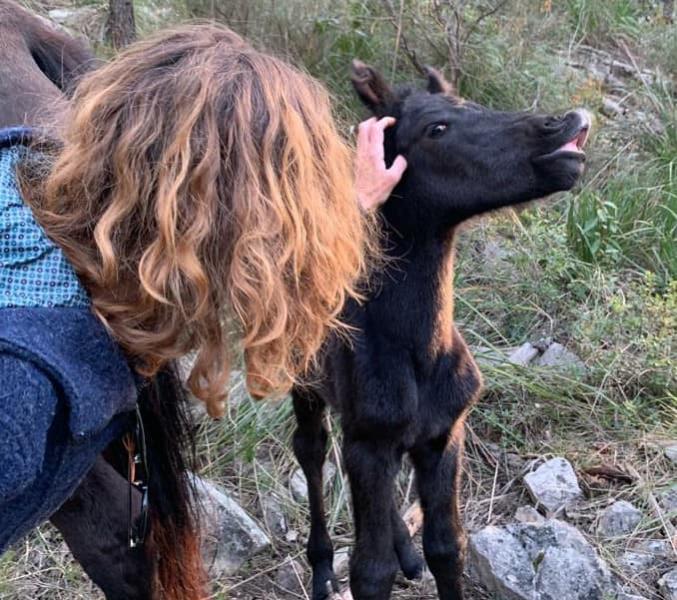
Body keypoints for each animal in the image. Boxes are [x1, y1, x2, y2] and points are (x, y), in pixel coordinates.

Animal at [294, 62, 588, 600]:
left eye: (472, 104)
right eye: (436, 128)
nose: (565, 124)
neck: (420, 353)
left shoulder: (443, 434)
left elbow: (448, 546)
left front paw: (417, 554)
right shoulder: (371, 442)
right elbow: (371, 572)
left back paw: (403, 552)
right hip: (299, 378)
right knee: (311, 448)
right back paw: (322, 566)